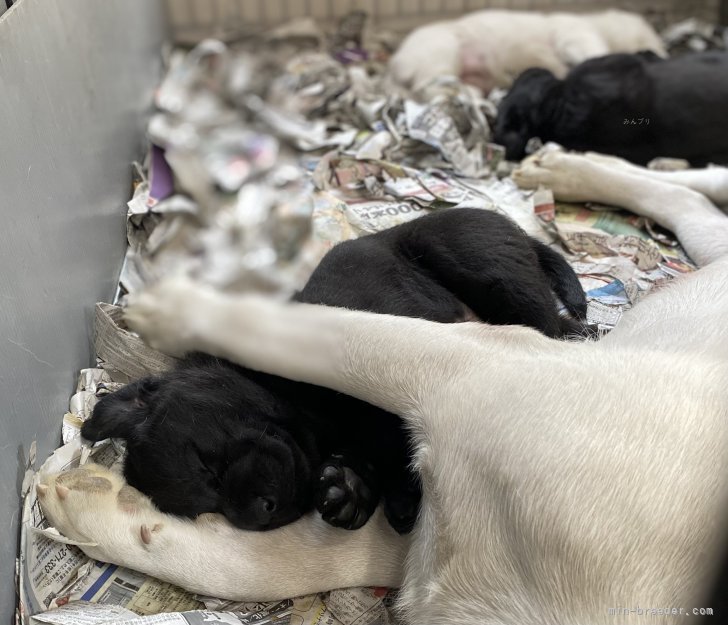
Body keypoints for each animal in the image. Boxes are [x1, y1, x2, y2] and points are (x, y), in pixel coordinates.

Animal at [82, 207, 588, 532]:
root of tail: (520, 229)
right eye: (211, 508)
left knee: (545, 324)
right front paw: (351, 491)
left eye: (209, 466)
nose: (258, 516)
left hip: (481, 266)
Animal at [386, 9, 664, 94]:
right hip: (441, 51)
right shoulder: (575, 31)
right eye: (654, 42)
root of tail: (396, 62)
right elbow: (588, 48)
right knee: (432, 83)